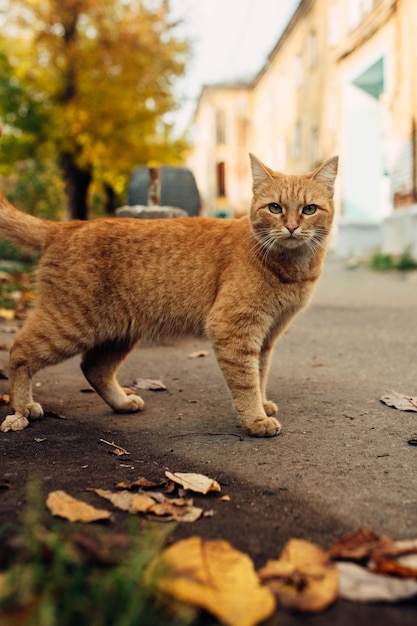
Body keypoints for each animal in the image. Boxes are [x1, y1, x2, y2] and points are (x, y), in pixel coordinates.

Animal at [0, 153, 336, 434]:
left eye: (309, 209)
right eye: (275, 208)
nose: (291, 227)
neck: (293, 268)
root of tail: (65, 226)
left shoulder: (267, 335)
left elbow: (260, 374)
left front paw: (262, 405)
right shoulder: (233, 328)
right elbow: (246, 380)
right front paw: (255, 419)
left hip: (117, 333)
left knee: (93, 368)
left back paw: (122, 403)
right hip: (69, 325)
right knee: (19, 351)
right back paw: (22, 408)